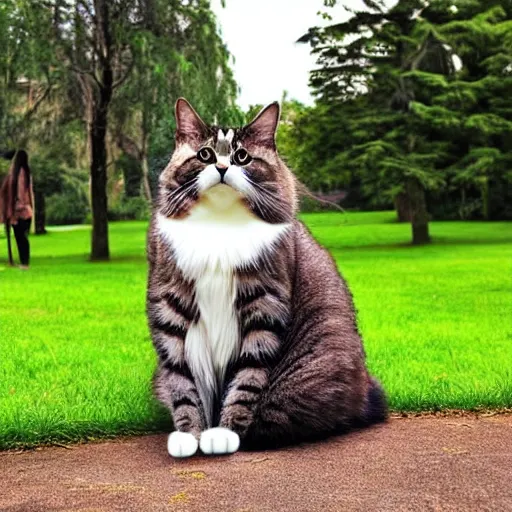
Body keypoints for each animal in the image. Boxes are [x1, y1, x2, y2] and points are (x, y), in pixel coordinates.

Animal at [146, 98, 386, 458]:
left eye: (242, 157)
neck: (219, 224)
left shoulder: (264, 306)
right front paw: (189, 433)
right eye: (205, 154)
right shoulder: (170, 307)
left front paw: (225, 432)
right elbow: (181, 380)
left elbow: (246, 379)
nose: (221, 167)